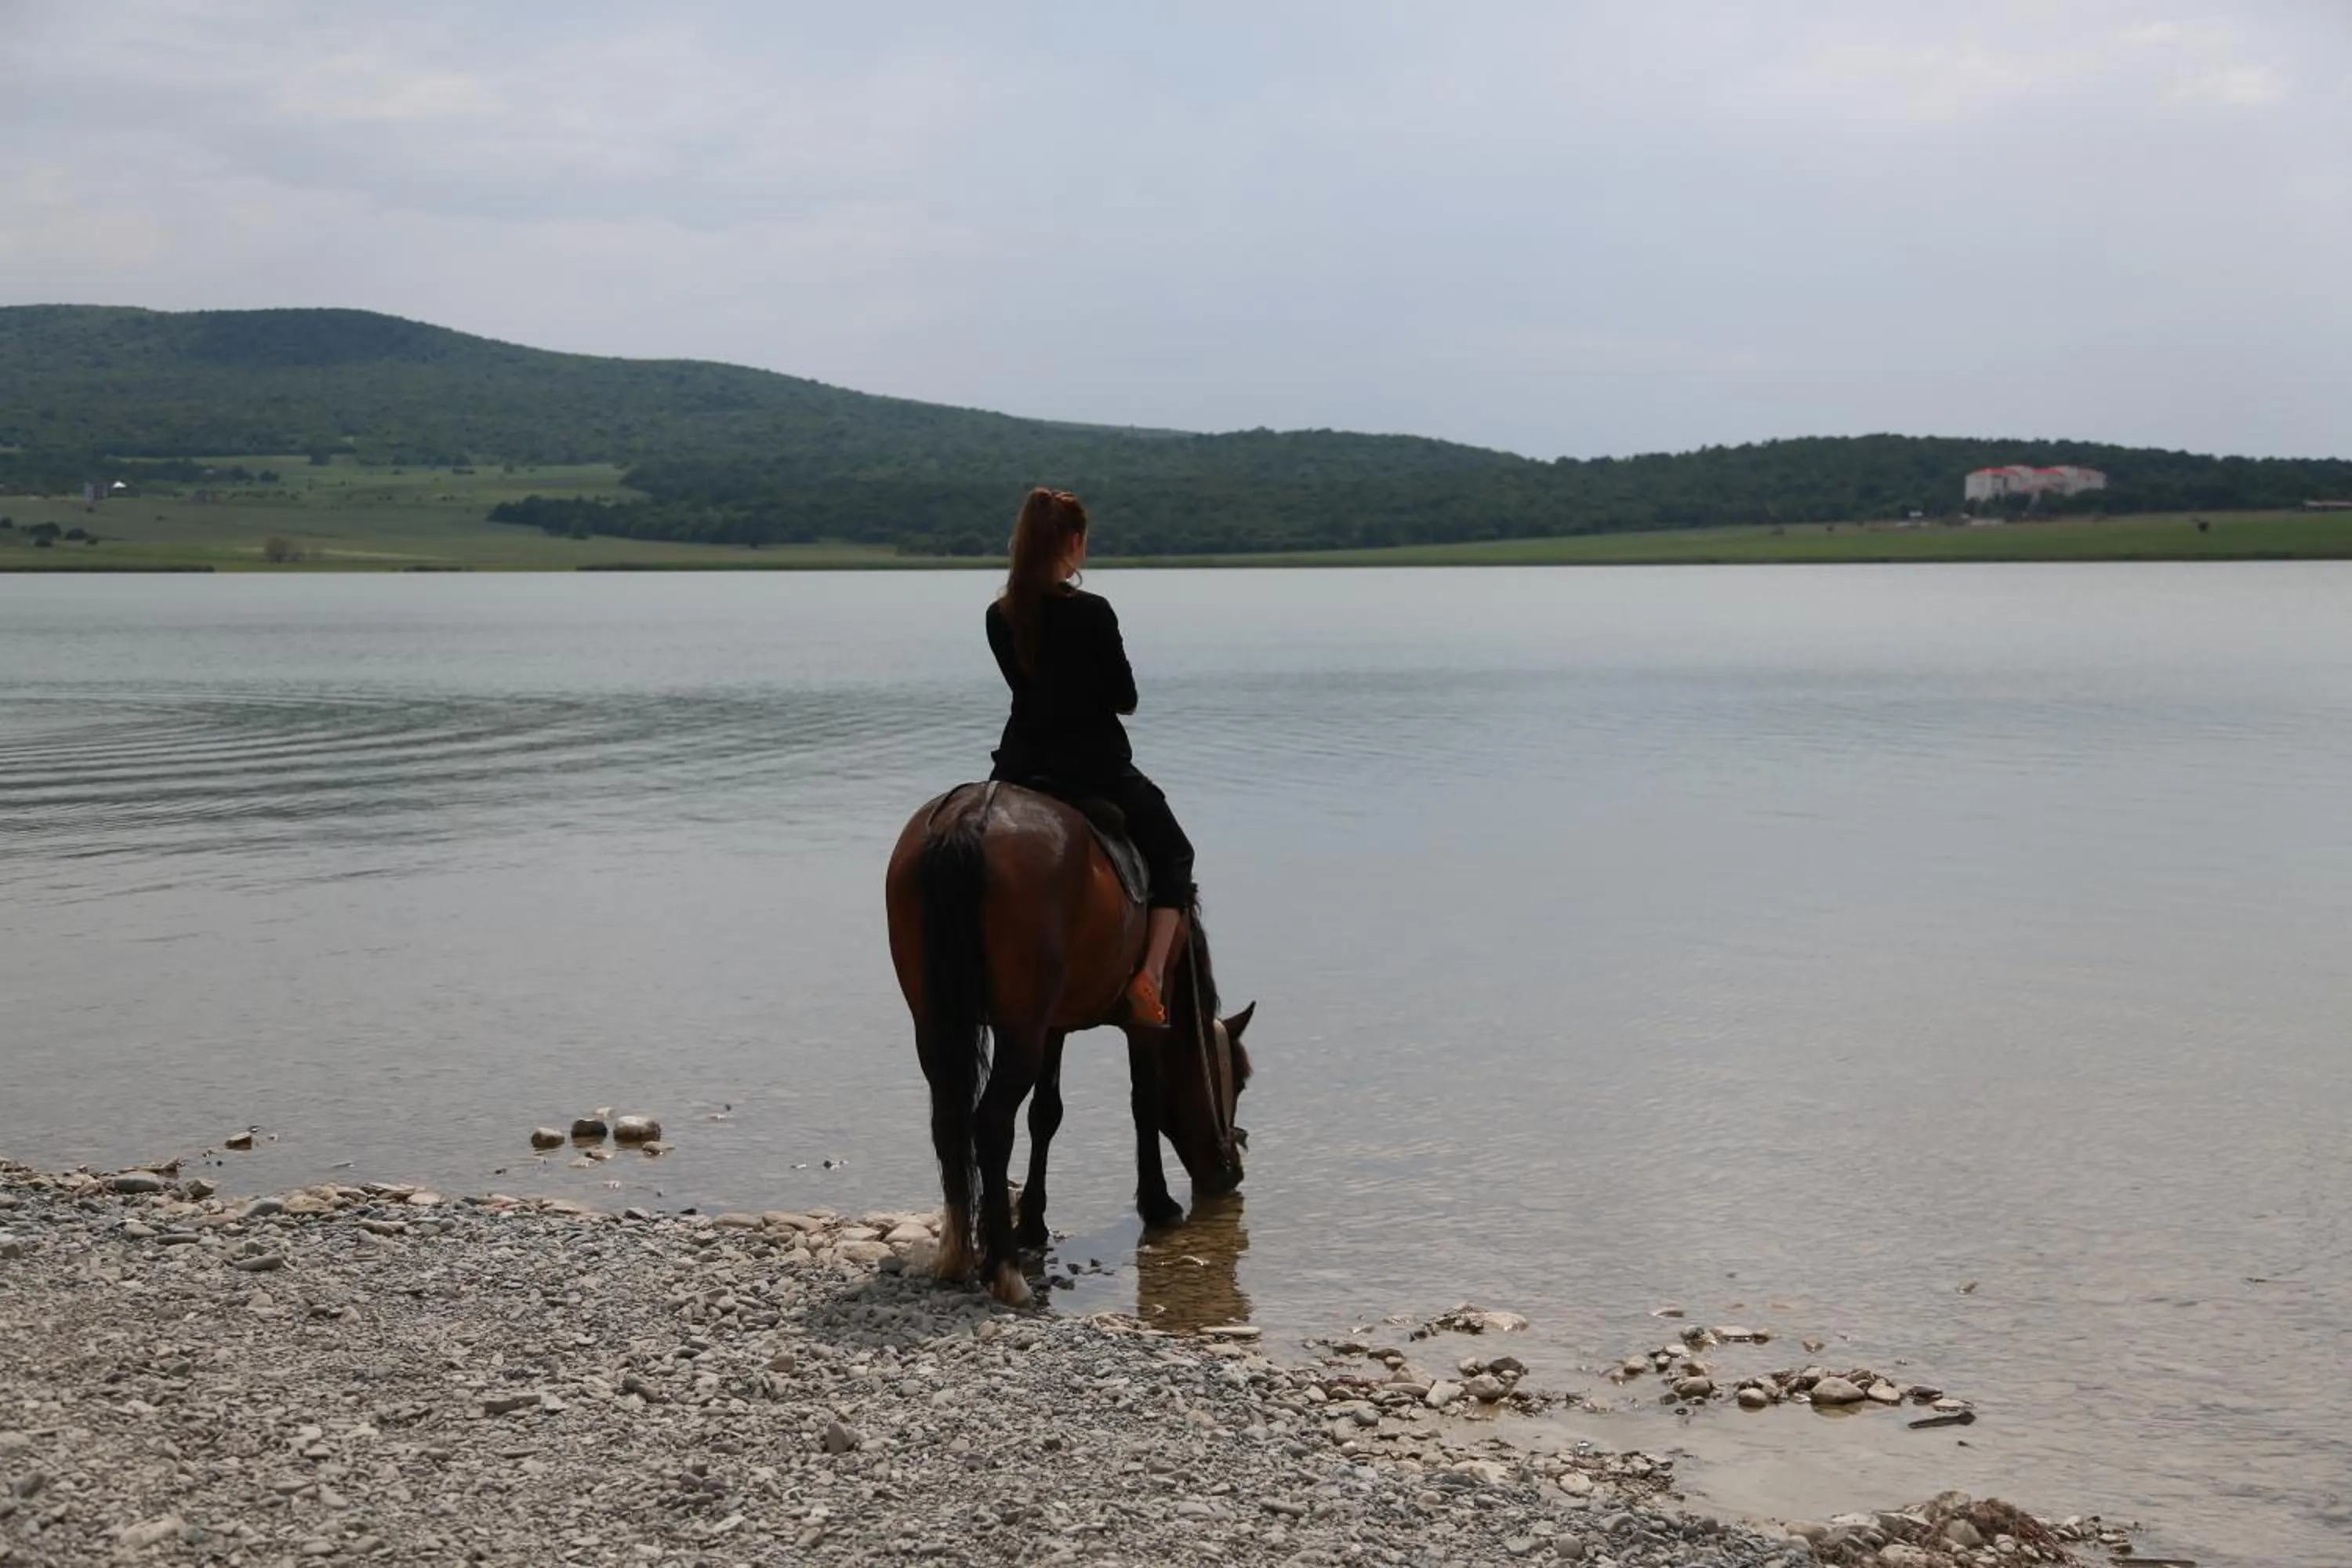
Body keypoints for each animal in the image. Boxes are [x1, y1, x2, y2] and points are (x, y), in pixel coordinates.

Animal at [884, 780, 1253, 1305]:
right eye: (1239, 1081)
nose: (1230, 1175)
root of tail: (972, 816)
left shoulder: (1052, 1027)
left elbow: (1046, 1115)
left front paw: (1033, 1221)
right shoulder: (1147, 1020)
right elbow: (1144, 1102)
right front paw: (1159, 1203)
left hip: (937, 1021)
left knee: (949, 1118)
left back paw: (959, 1253)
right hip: (1017, 1029)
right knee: (991, 1122)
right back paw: (1006, 1271)